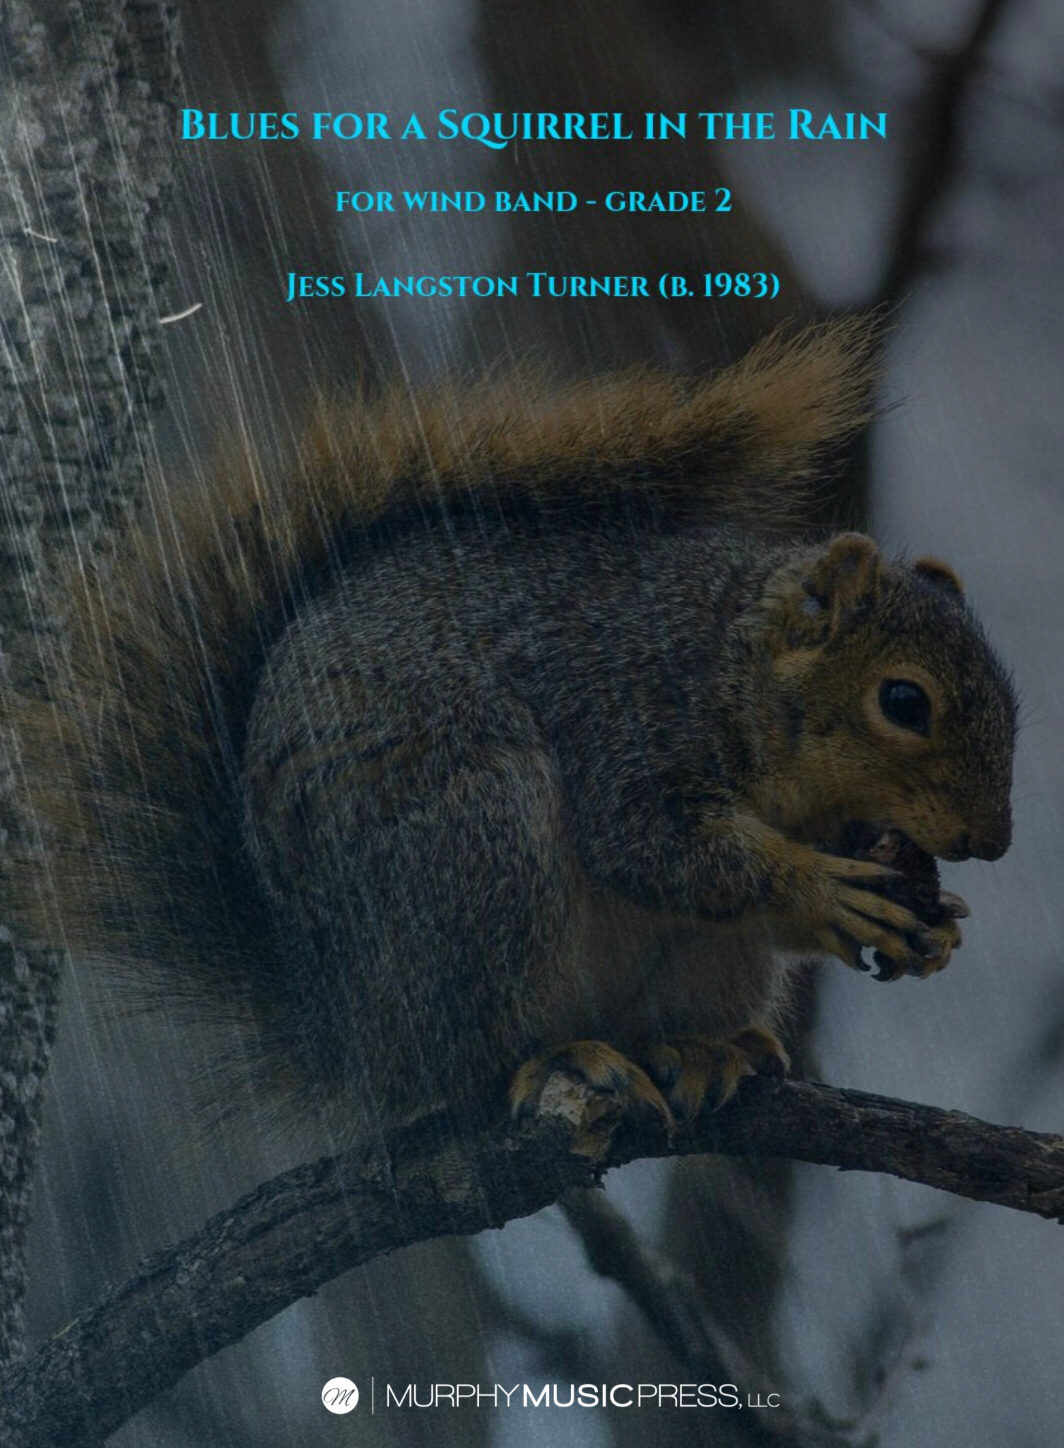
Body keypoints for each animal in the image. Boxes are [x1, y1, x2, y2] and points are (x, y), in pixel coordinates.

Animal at [13, 317, 1017, 1143]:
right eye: (904, 702)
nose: (992, 843)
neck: (737, 670)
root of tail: (341, 1032)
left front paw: (937, 928)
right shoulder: (628, 715)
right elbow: (654, 846)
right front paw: (824, 889)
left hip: (700, 958)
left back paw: (699, 1050)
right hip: (478, 847)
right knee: (466, 1065)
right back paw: (557, 1058)